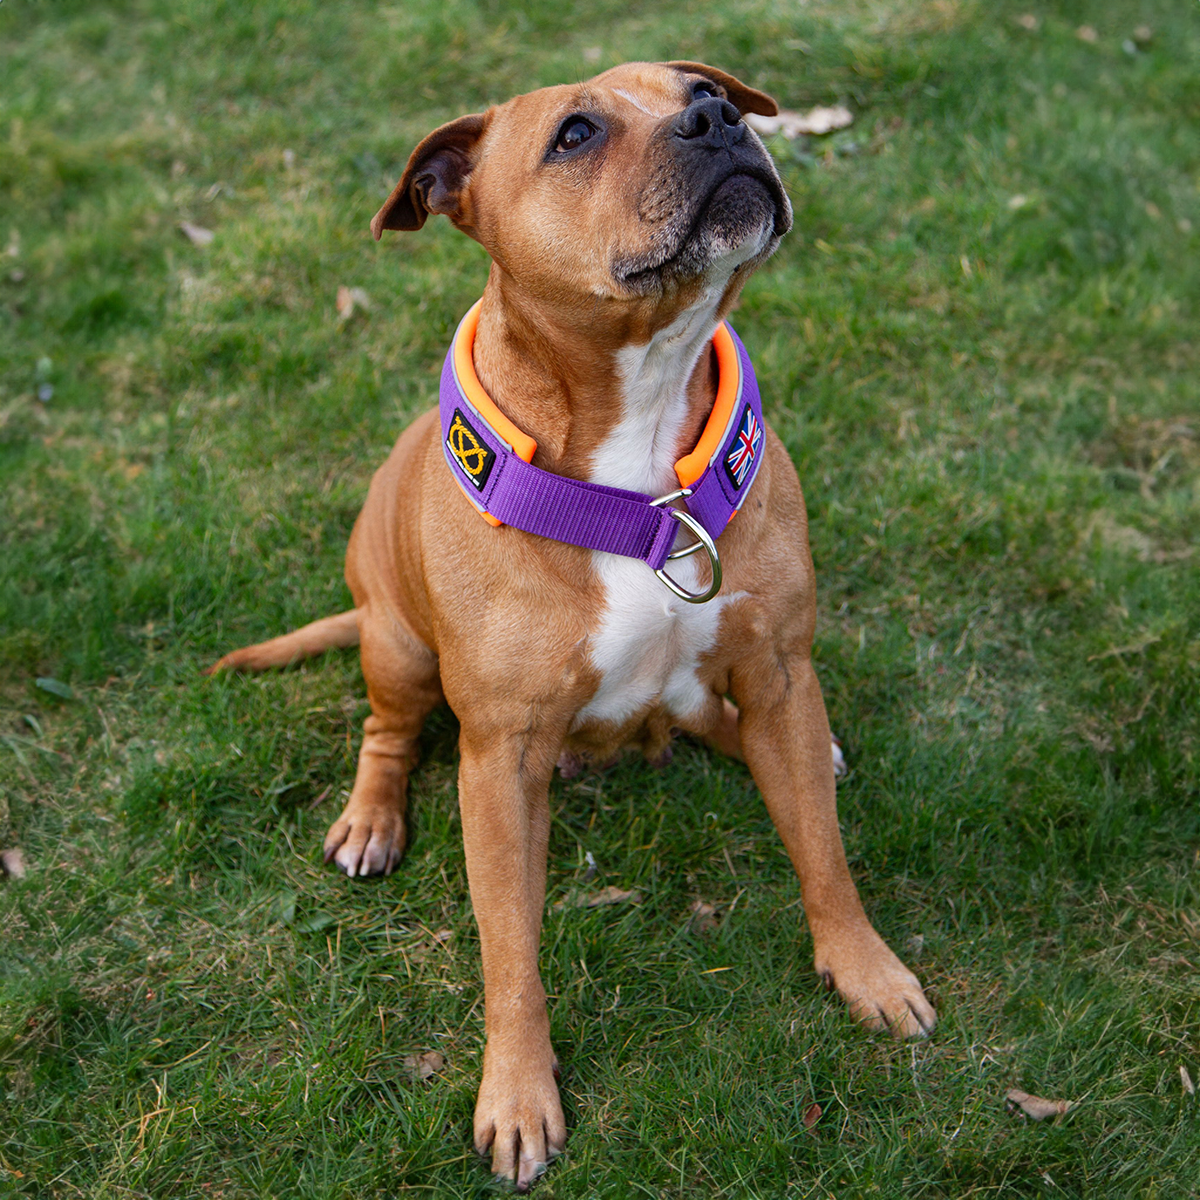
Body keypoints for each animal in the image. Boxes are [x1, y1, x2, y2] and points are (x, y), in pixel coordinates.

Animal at [211, 63, 931, 1190]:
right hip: (396, 644)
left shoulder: (781, 671)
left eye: (703, 85)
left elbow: (822, 851)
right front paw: (517, 1094)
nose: (719, 119)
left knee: (732, 729)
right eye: (577, 134)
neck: (639, 457)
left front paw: (866, 969)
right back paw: (371, 818)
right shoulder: (500, 761)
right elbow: (510, 949)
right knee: (386, 730)